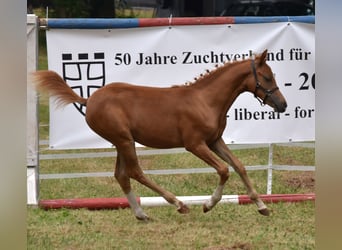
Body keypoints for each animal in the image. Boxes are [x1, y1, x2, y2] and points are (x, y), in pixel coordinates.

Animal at [34, 49, 286, 220]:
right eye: (266, 77)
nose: (282, 105)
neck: (205, 100)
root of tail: (88, 99)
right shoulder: (195, 144)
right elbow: (224, 169)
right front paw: (208, 204)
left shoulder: (215, 140)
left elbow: (239, 166)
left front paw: (262, 206)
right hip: (124, 140)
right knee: (135, 172)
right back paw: (179, 204)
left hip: (121, 142)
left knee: (121, 175)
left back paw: (141, 214)